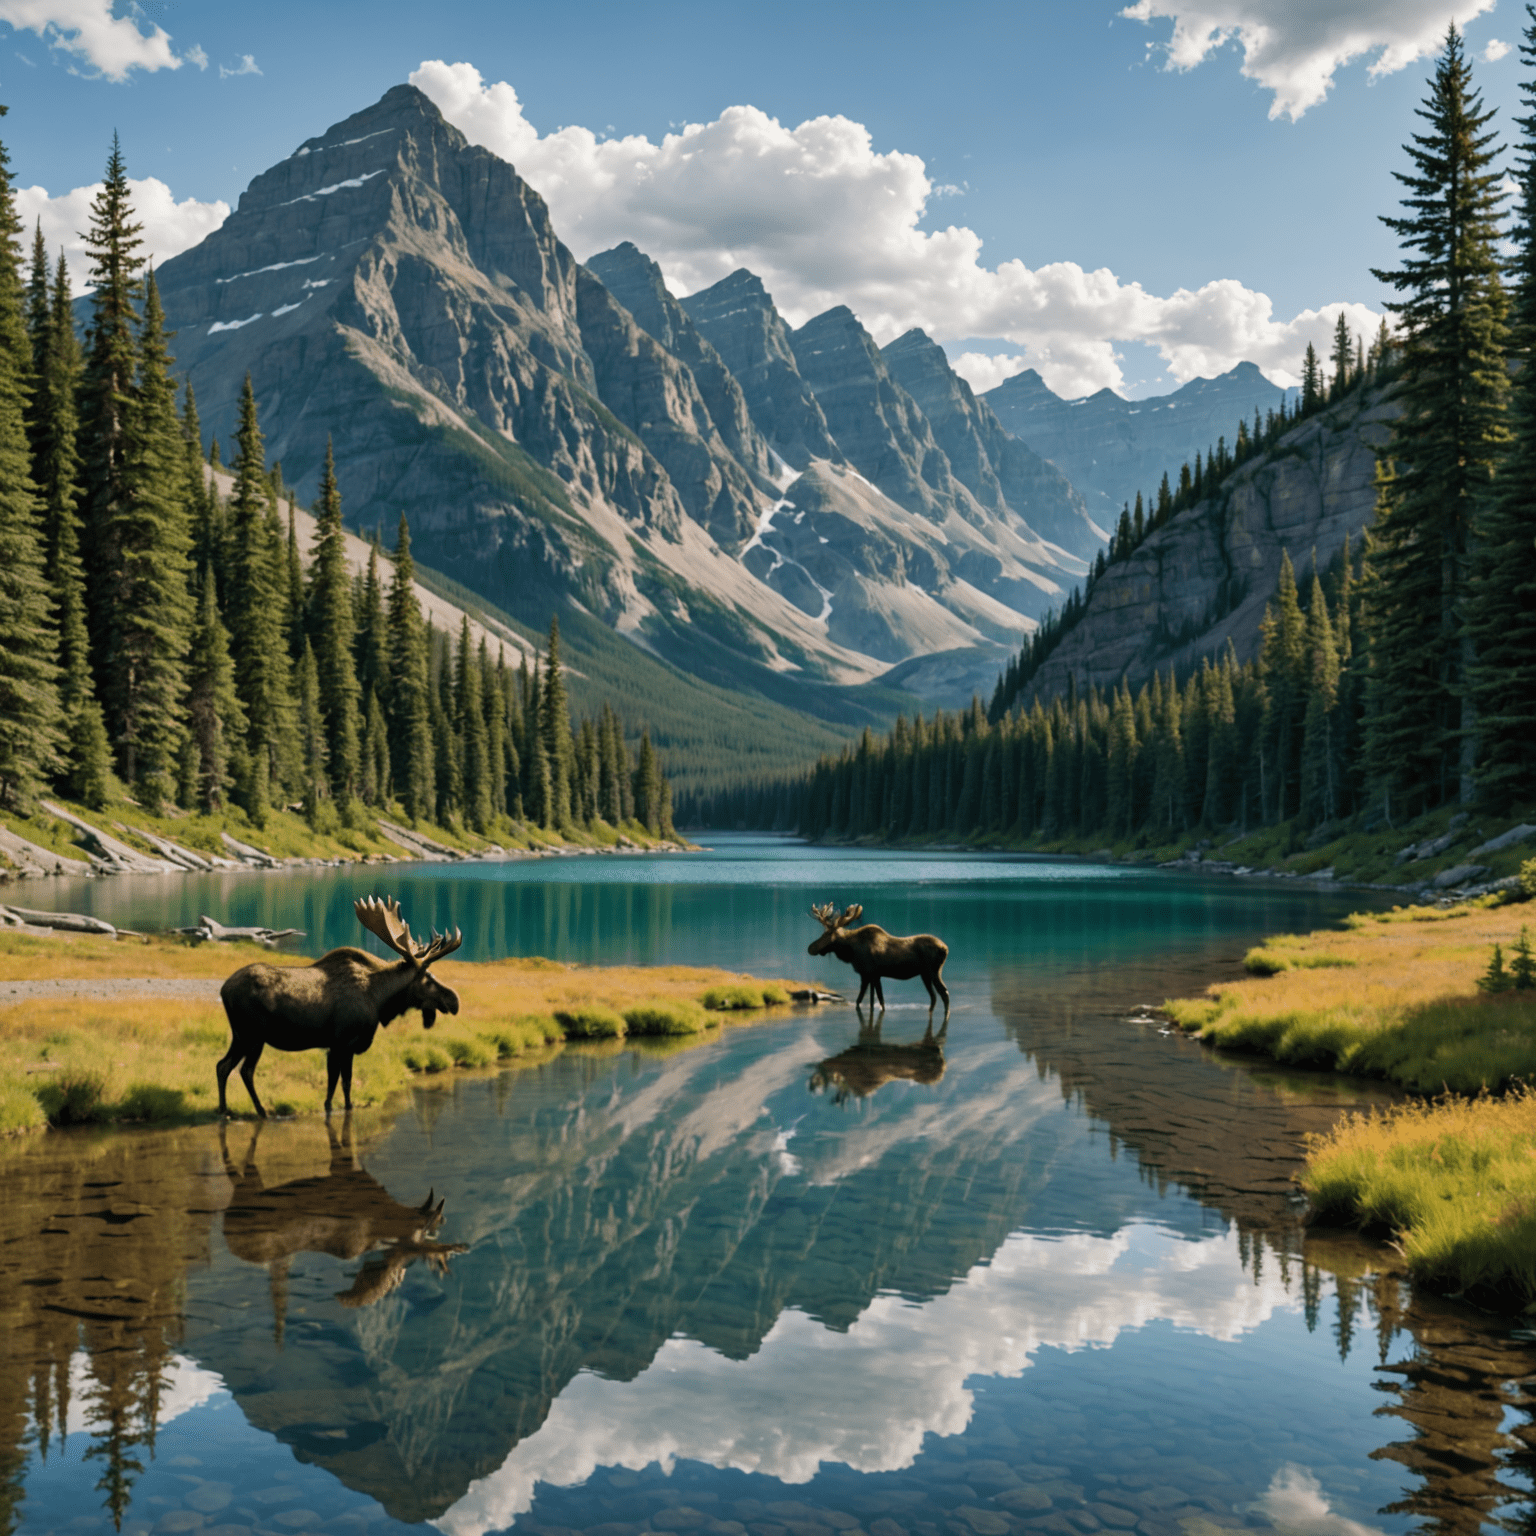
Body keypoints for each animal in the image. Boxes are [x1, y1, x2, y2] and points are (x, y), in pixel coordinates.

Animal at [218, 890, 460, 1118]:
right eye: (427, 978)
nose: (454, 1000)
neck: (379, 1000)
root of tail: (224, 990)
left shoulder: (336, 1047)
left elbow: (335, 1084)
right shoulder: (343, 1043)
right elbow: (343, 1084)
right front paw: (342, 1109)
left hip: (239, 1035)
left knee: (223, 1065)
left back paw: (224, 1109)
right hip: (253, 1035)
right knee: (245, 1071)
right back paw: (261, 1111)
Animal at [804, 897, 946, 1019]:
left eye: (826, 934)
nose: (810, 948)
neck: (850, 950)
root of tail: (945, 949)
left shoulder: (868, 974)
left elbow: (866, 1001)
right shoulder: (873, 975)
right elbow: (873, 1001)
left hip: (932, 972)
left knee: (943, 993)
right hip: (925, 974)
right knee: (934, 996)